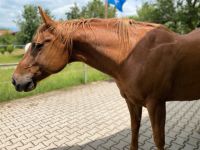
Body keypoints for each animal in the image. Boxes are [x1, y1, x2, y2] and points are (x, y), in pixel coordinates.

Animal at [12, 7, 200, 150]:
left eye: (38, 45)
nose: (15, 80)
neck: (134, 53)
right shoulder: (132, 102)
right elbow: (134, 131)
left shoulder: (157, 104)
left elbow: (158, 141)